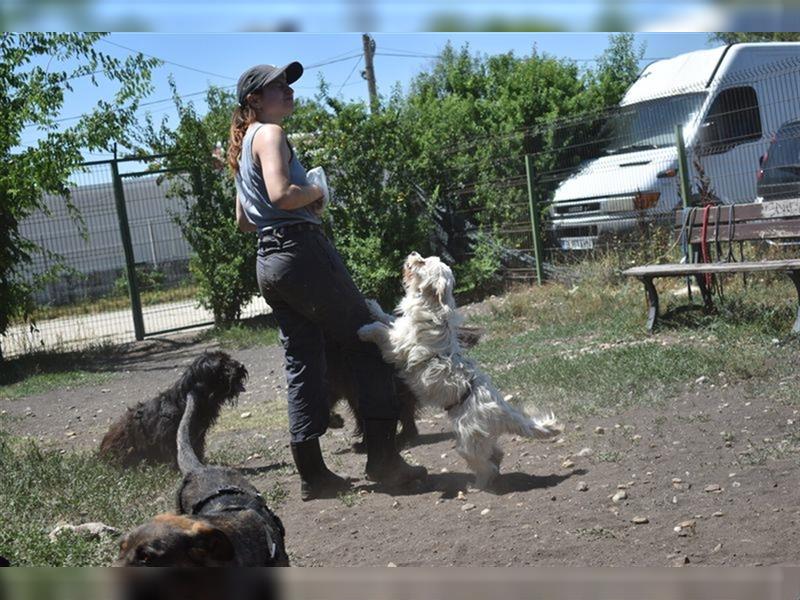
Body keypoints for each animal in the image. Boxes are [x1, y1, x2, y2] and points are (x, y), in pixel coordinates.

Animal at [99, 352, 247, 468]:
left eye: (228, 358)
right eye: (222, 365)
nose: (241, 366)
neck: (184, 401)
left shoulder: (197, 437)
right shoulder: (169, 436)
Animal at [356, 251, 564, 490]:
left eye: (422, 263)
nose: (414, 253)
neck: (432, 308)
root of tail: (504, 411)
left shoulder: (397, 346)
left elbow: (381, 330)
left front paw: (365, 330)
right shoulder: (400, 327)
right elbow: (388, 319)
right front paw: (373, 305)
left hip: (467, 445)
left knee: (488, 468)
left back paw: (478, 486)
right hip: (481, 442)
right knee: (496, 456)